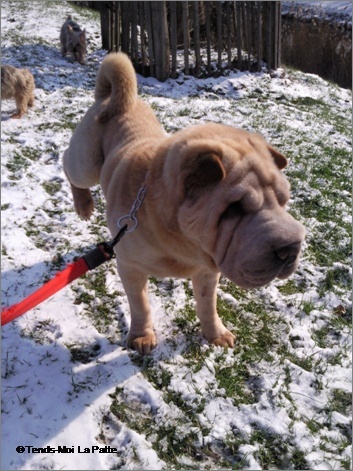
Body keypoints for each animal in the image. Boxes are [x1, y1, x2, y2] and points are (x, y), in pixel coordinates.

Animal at [62, 52, 304, 354]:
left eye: (283, 200)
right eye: (234, 208)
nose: (291, 248)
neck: (181, 241)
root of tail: (112, 97)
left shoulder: (207, 271)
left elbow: (207, 305)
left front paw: (216, 335)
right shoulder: (130, 266)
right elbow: (140, 304)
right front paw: (141, 337)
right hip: (87, 162)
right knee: (68, 164)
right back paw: (83, 204)